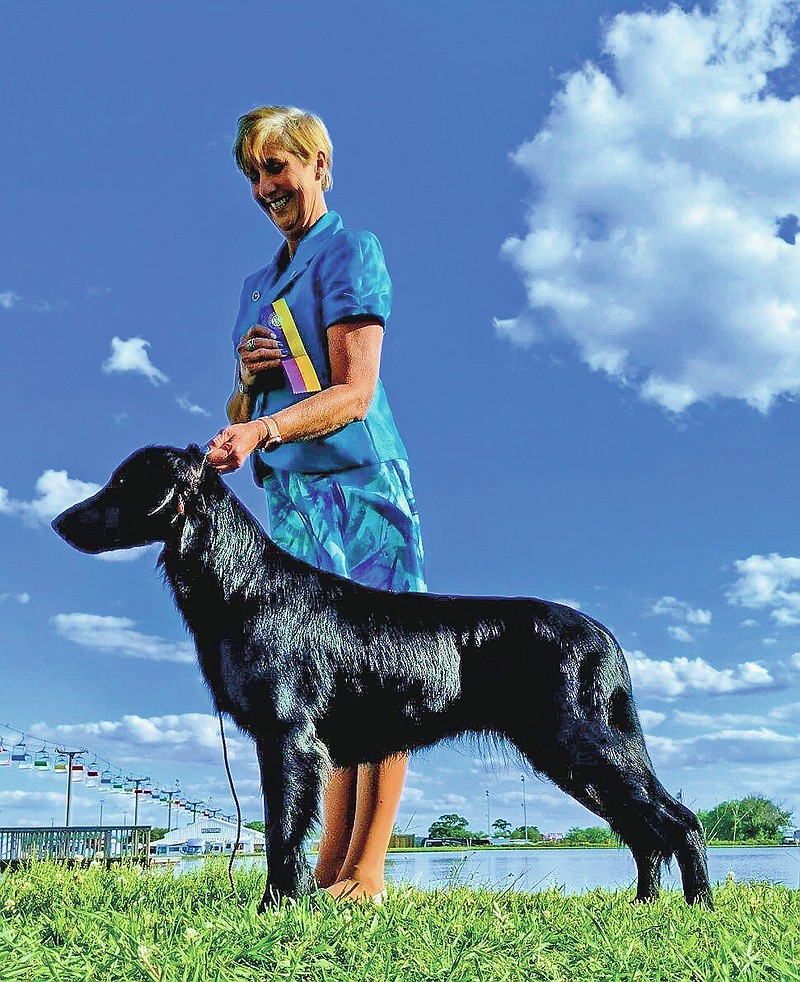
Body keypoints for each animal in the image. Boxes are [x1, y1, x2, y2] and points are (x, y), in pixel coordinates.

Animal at [53, 446, 708, 908]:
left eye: (122, 482)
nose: (58, 522)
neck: (244, 586)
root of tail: (605, 635)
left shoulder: (288, 736)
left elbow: (283, 832)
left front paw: (275, 908)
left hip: (582, 740)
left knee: (678, 820)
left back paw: (696, 907)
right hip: (575, 754)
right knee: (644, 830)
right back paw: (644, 906)